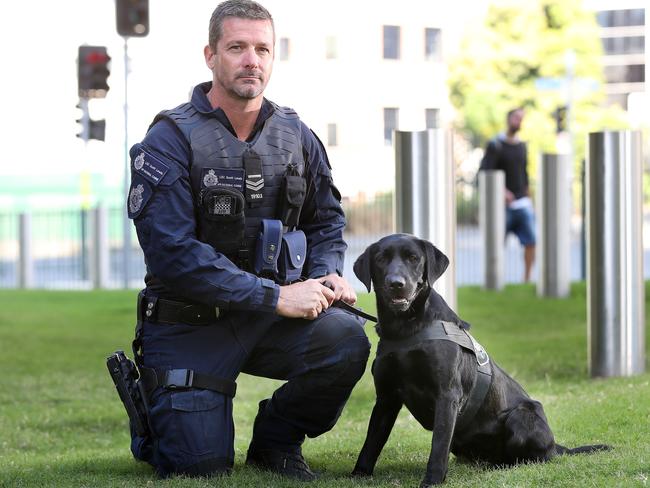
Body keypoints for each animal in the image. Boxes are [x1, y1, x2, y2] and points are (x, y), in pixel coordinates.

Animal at [350, 234, 608, 486]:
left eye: (413, 258)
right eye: (381, 259)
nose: (396, 284)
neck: (405, 330)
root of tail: (557, 446)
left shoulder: (447, 394)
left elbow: (438, 444)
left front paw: (432, 480)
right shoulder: (386, 397)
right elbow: (371, 441)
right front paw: (358, 474)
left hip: (522, 415)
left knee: (533, 457)